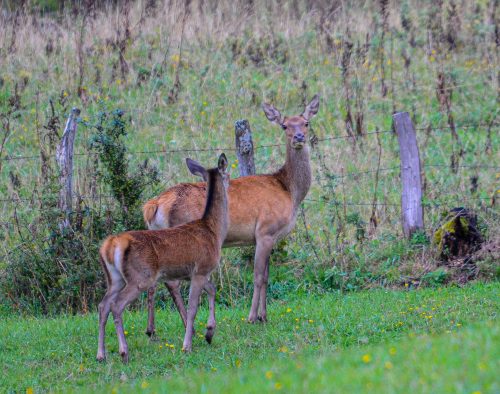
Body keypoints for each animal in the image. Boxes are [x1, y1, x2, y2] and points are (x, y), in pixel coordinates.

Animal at [96, 152, 229, 362]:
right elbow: (193, 307)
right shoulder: (201, 268)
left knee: (103, 306)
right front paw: (187, 346)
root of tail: (111, 245)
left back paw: (101, 355)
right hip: (140, 277)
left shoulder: (196, 273)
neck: (213, 231)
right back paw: (124, 351)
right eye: (228, 175)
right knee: (116, 306)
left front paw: (209, 333)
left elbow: (212, 289)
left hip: (115, 278)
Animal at [143, 95, 318, 332]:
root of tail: (154, 205)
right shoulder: (265, 230)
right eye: (284, 125)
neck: (288, 190)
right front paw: (252, 317)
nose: (299, 137)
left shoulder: (269, 236)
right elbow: (258, 276)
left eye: (306, 123)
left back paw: (151, 329)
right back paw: (187, 324)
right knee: (172, 281)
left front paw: (264, 316)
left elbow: (267, 276)